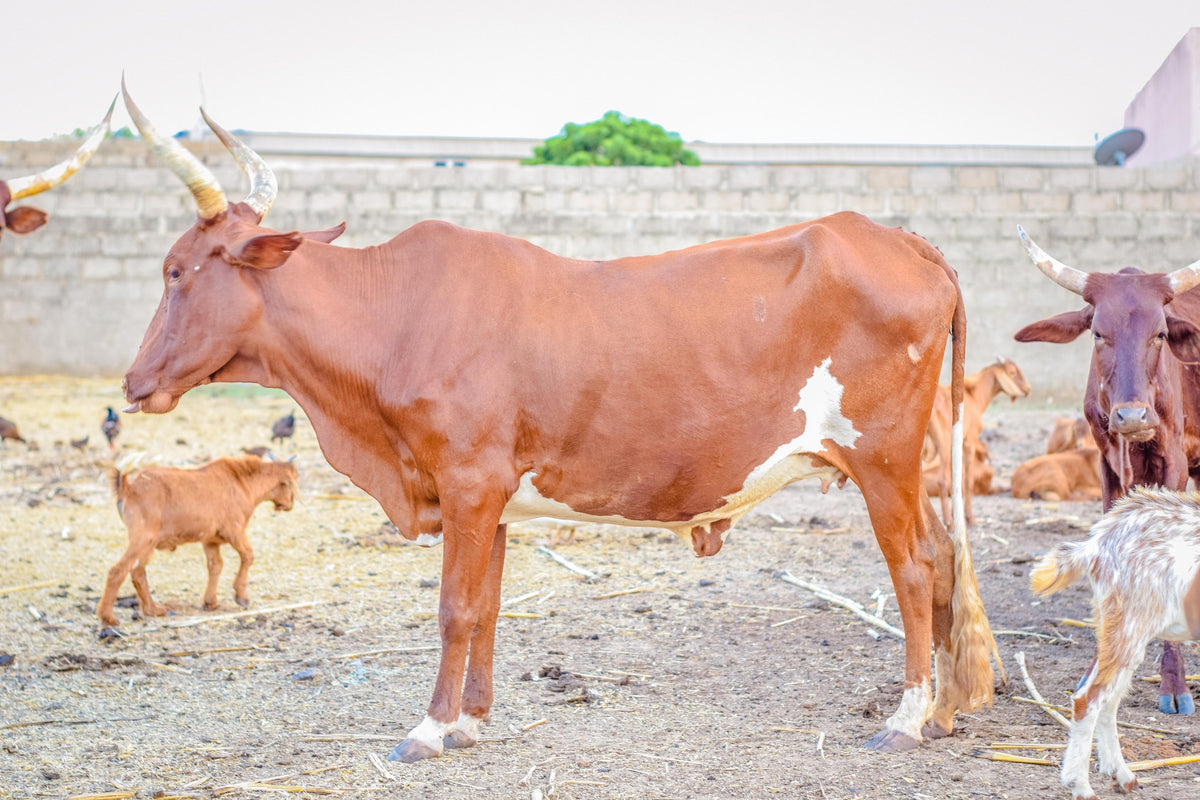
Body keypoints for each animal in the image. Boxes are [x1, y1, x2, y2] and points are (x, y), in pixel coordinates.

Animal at [98, 454, 298, 627]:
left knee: (138, 571)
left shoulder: (210, 540)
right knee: (118, 571)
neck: (242, 481)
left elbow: (215, 565)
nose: (290, 505)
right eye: (291, 482)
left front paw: (210, 603)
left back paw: (153, 610)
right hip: (143, 538)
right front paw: (242, 598)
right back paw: (108, 618)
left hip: (148, 543)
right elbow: (248, 556)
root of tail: (128, 488)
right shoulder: (235, 531)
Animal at [1014, 225, 1200, 715]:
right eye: (1098, 333)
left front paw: (1174, 682)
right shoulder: (1107, 468)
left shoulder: (1173, 463)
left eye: (1160, 334)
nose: (1132, 417)